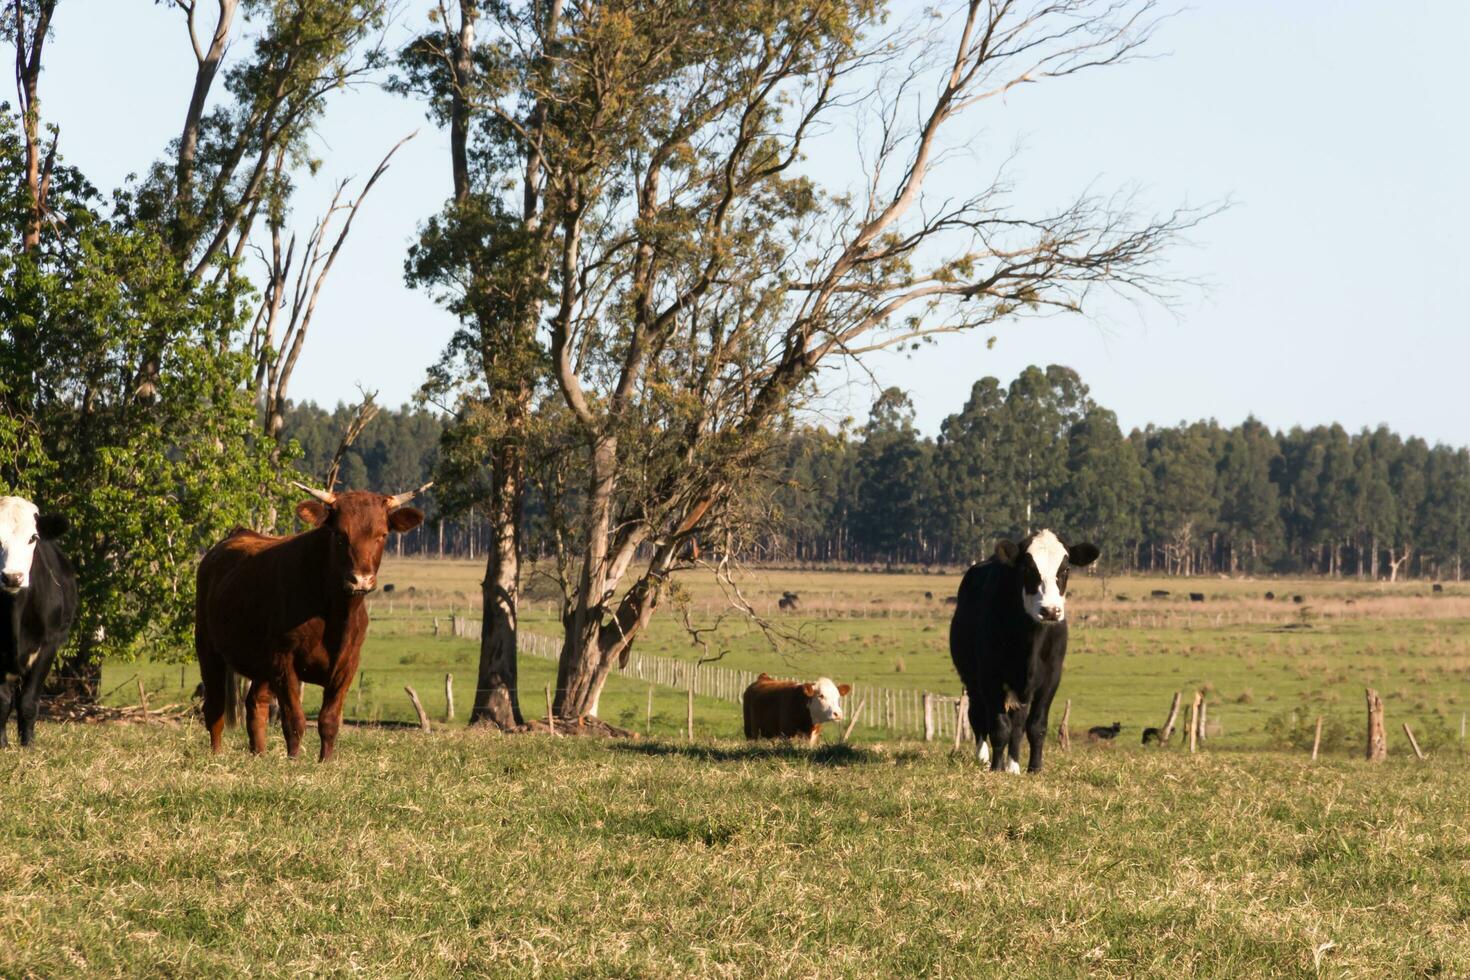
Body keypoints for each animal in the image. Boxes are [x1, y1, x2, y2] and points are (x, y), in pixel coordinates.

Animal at [0, 493, 78, 746]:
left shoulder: (49, 646)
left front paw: (28, 746)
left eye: (32, 538)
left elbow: (29, 701)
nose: (12, 577)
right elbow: (2, 701)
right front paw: (2, 745)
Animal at [195, 481, 429, 764]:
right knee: (215, 707)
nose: (360, 580)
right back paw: (217, 754)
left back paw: (259, 754)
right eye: (340, 535)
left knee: (255, 703)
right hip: (208, 647)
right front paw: (294, 761)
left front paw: (325, 762)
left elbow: (329, 720)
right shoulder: (284, 659)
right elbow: (294, 719)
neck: (336, 614)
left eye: (382, 535)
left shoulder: (348, 664)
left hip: (261, 664)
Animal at [946, 528, 1099, 775]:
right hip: (971, 679)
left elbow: (1035, 726)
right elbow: (999, 726)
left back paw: (1013, 766)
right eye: (1027, 569)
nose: (1050, 611)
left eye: (1065, 569)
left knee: (1017, 724)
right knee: (978, 716)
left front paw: (1034, 768)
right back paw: (984, 758)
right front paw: (996, 768)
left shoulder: (1051, 677)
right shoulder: (989, 676)